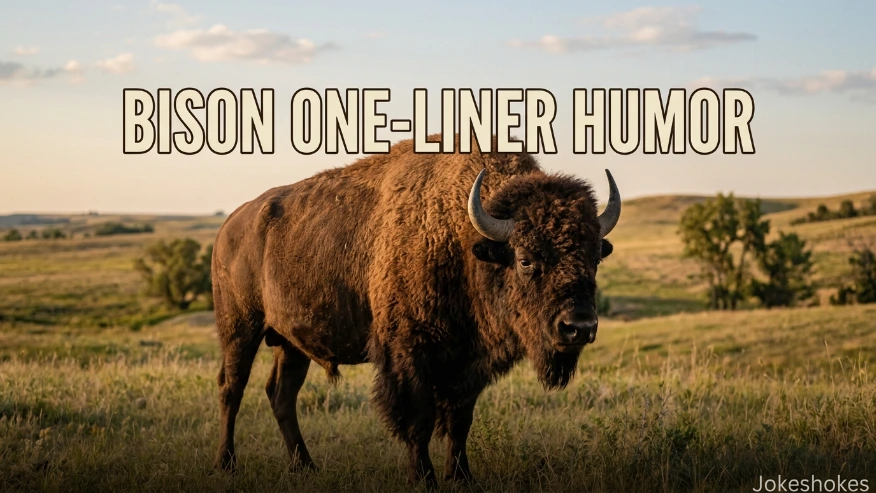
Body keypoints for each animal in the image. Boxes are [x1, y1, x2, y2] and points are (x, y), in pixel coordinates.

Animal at [211, 134, 621, 487]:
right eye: (525, 260)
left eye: (595, 257)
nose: (579, 327)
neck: (466, 240)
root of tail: (229, 226)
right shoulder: (409, 353)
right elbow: (418, 420)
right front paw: (423, 478)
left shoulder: (468, 363)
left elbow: (459, 420)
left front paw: (462, 477)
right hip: (240, 328)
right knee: (232, 389)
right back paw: (226, 465)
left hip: (291, 344)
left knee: (281, 395)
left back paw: (305, 466)